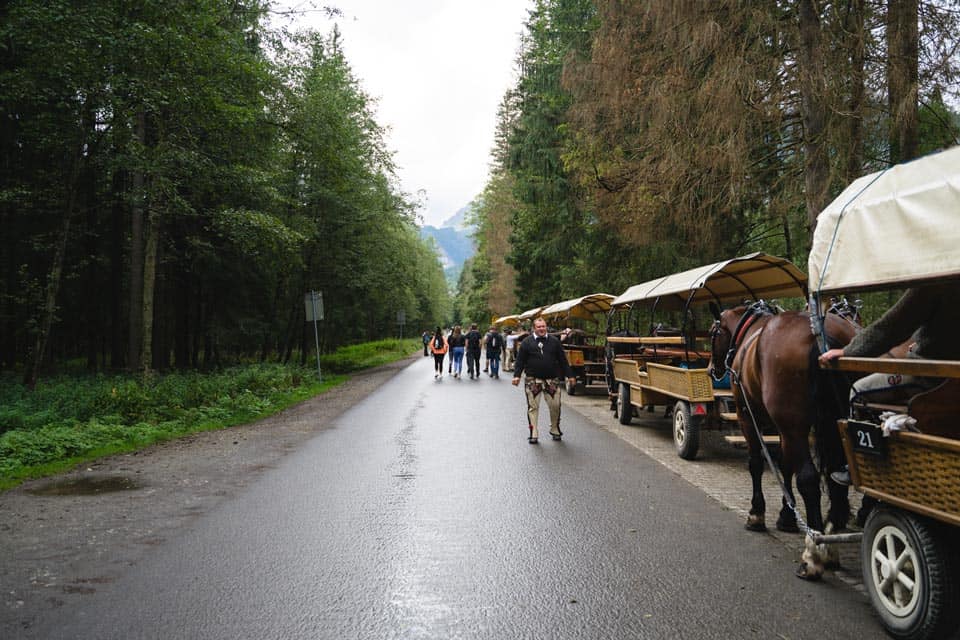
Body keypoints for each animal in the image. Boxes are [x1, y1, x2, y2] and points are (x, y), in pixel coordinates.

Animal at [704, 304, 856, 580]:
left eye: (713, 333)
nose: (712, 370)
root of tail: (821, 334)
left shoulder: (747, 413)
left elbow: (756, 464)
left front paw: (756, 515)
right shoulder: (780, 427)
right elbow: (785, 466)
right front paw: (786, 516)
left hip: (793, 424)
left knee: (809, 480)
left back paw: (813, 553)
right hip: (836, 424)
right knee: (835, 481)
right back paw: (830, 546)